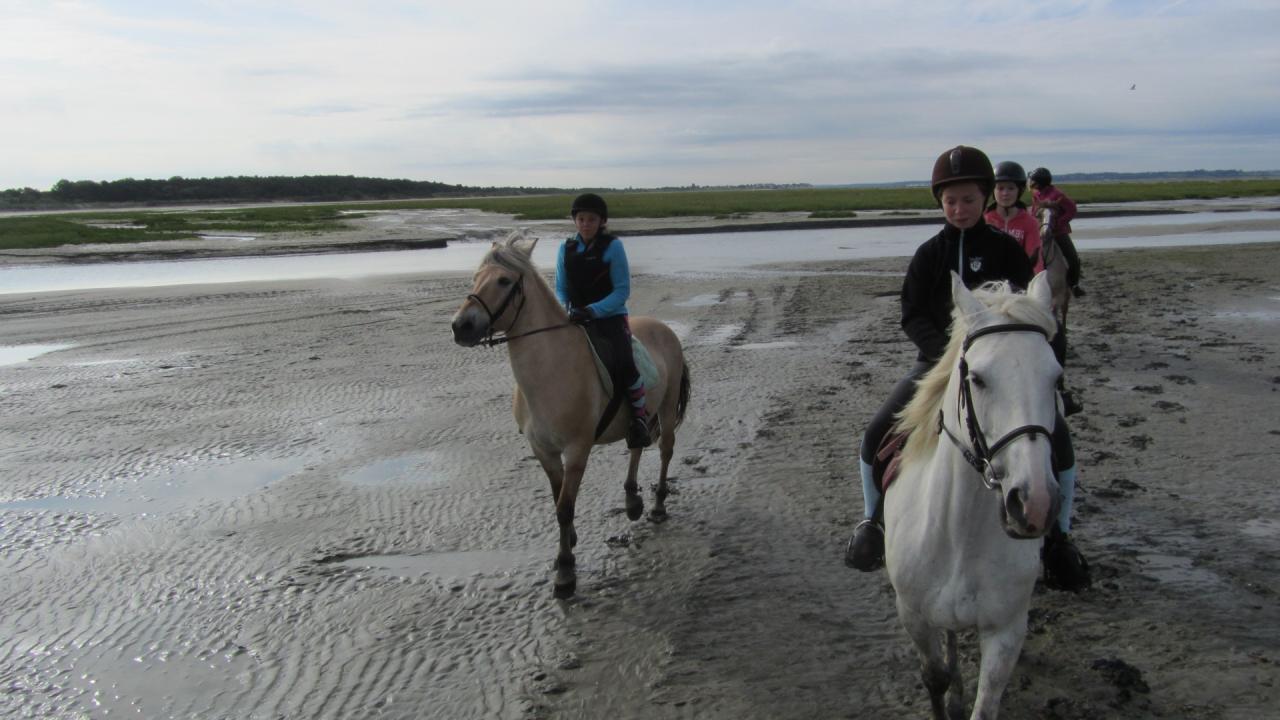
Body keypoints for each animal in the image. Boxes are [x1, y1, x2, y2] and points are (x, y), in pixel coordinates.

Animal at [885, 270, 1064, 717]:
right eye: (977, 378)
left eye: (1056, 377)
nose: (1034, 503)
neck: (959, 536)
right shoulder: (913, 616)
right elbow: (934, 677)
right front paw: (947, 693)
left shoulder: (1005, 631)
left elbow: (986, 705)